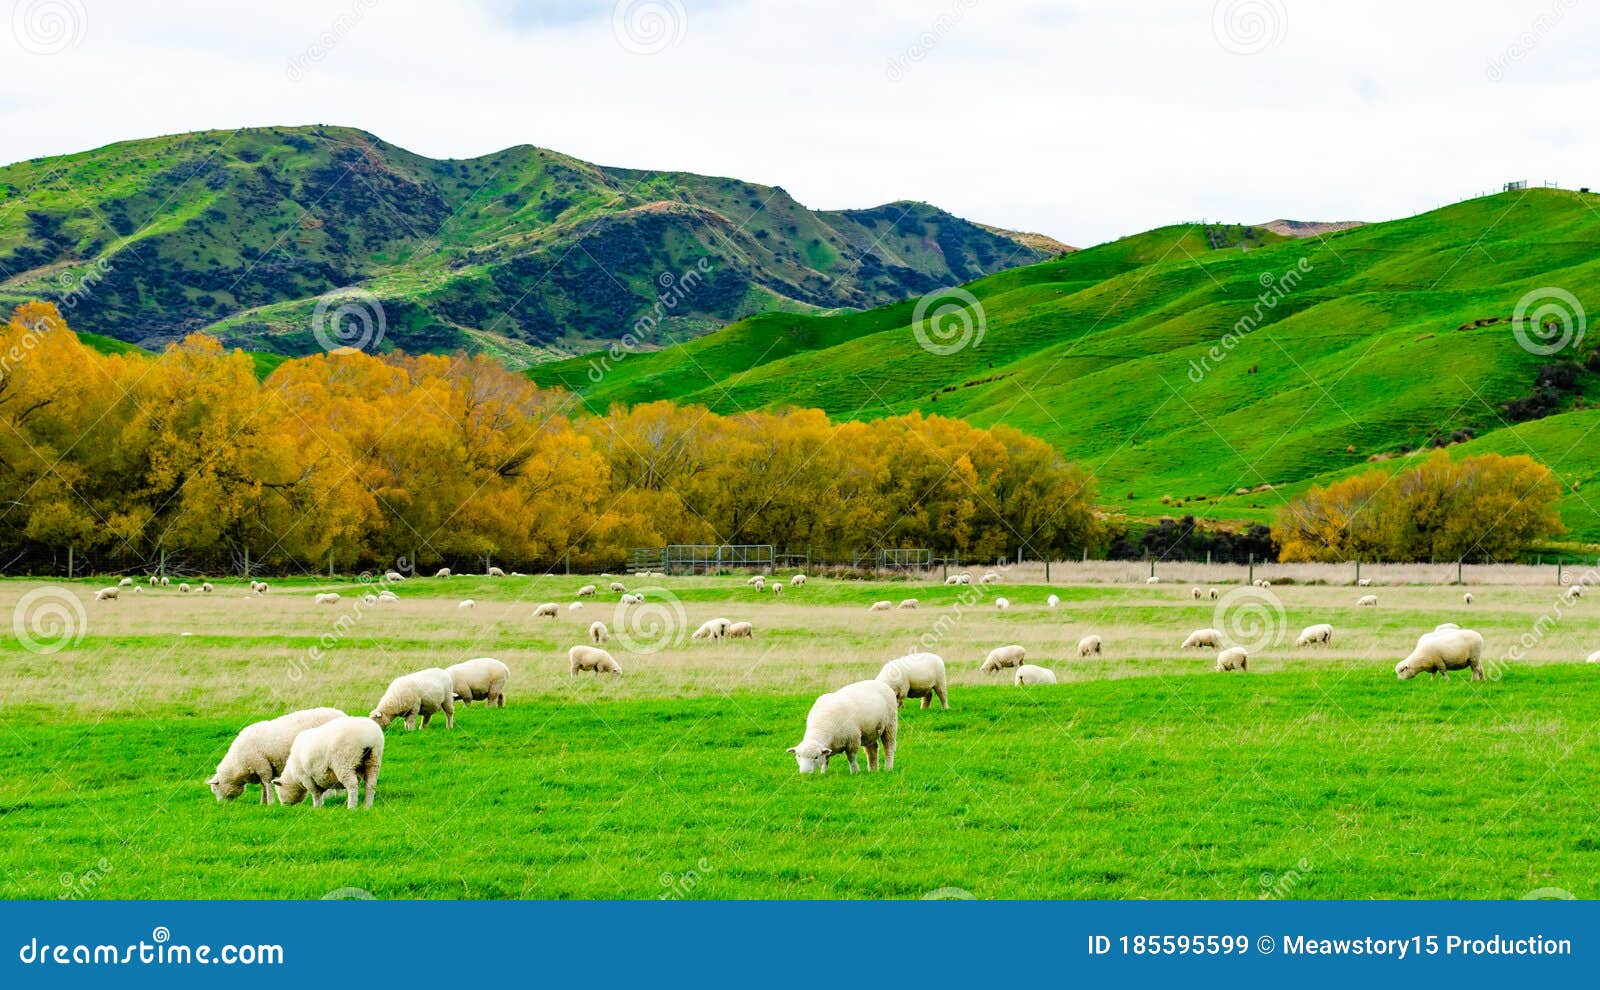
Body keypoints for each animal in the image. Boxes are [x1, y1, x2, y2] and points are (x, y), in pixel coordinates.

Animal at [206, 703, 344, 806]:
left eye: (215, 789)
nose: (221, 804)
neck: (238, 763)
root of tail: (342, 714)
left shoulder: (262, 765)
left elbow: (266, 783)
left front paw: (270, 802)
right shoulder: (259, 768)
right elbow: (263, 786)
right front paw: (263, 802)